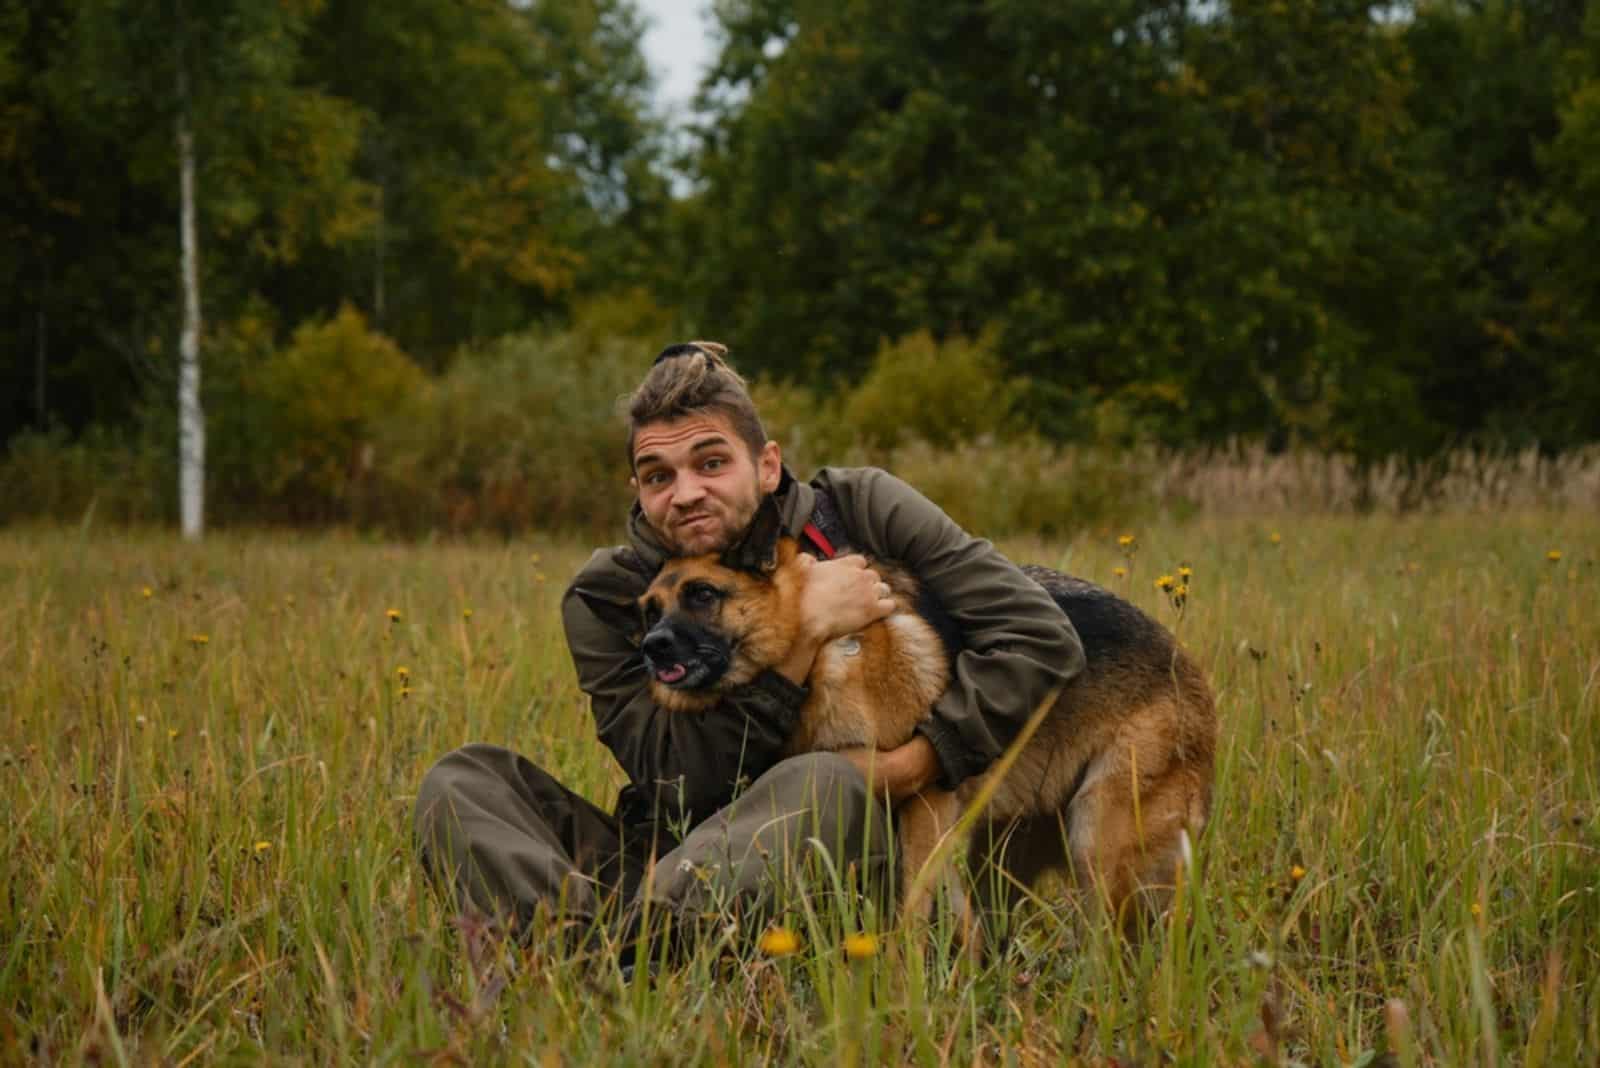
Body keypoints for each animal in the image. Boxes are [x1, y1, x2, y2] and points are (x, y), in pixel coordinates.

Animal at [633, 502, 1209, 933]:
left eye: (702, 594)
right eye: (649, 609)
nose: (650, 648)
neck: (817, 650)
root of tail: (1185, 662)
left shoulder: (925, 802)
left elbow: (911, 909)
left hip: (1097, 844)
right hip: (1006, 851)